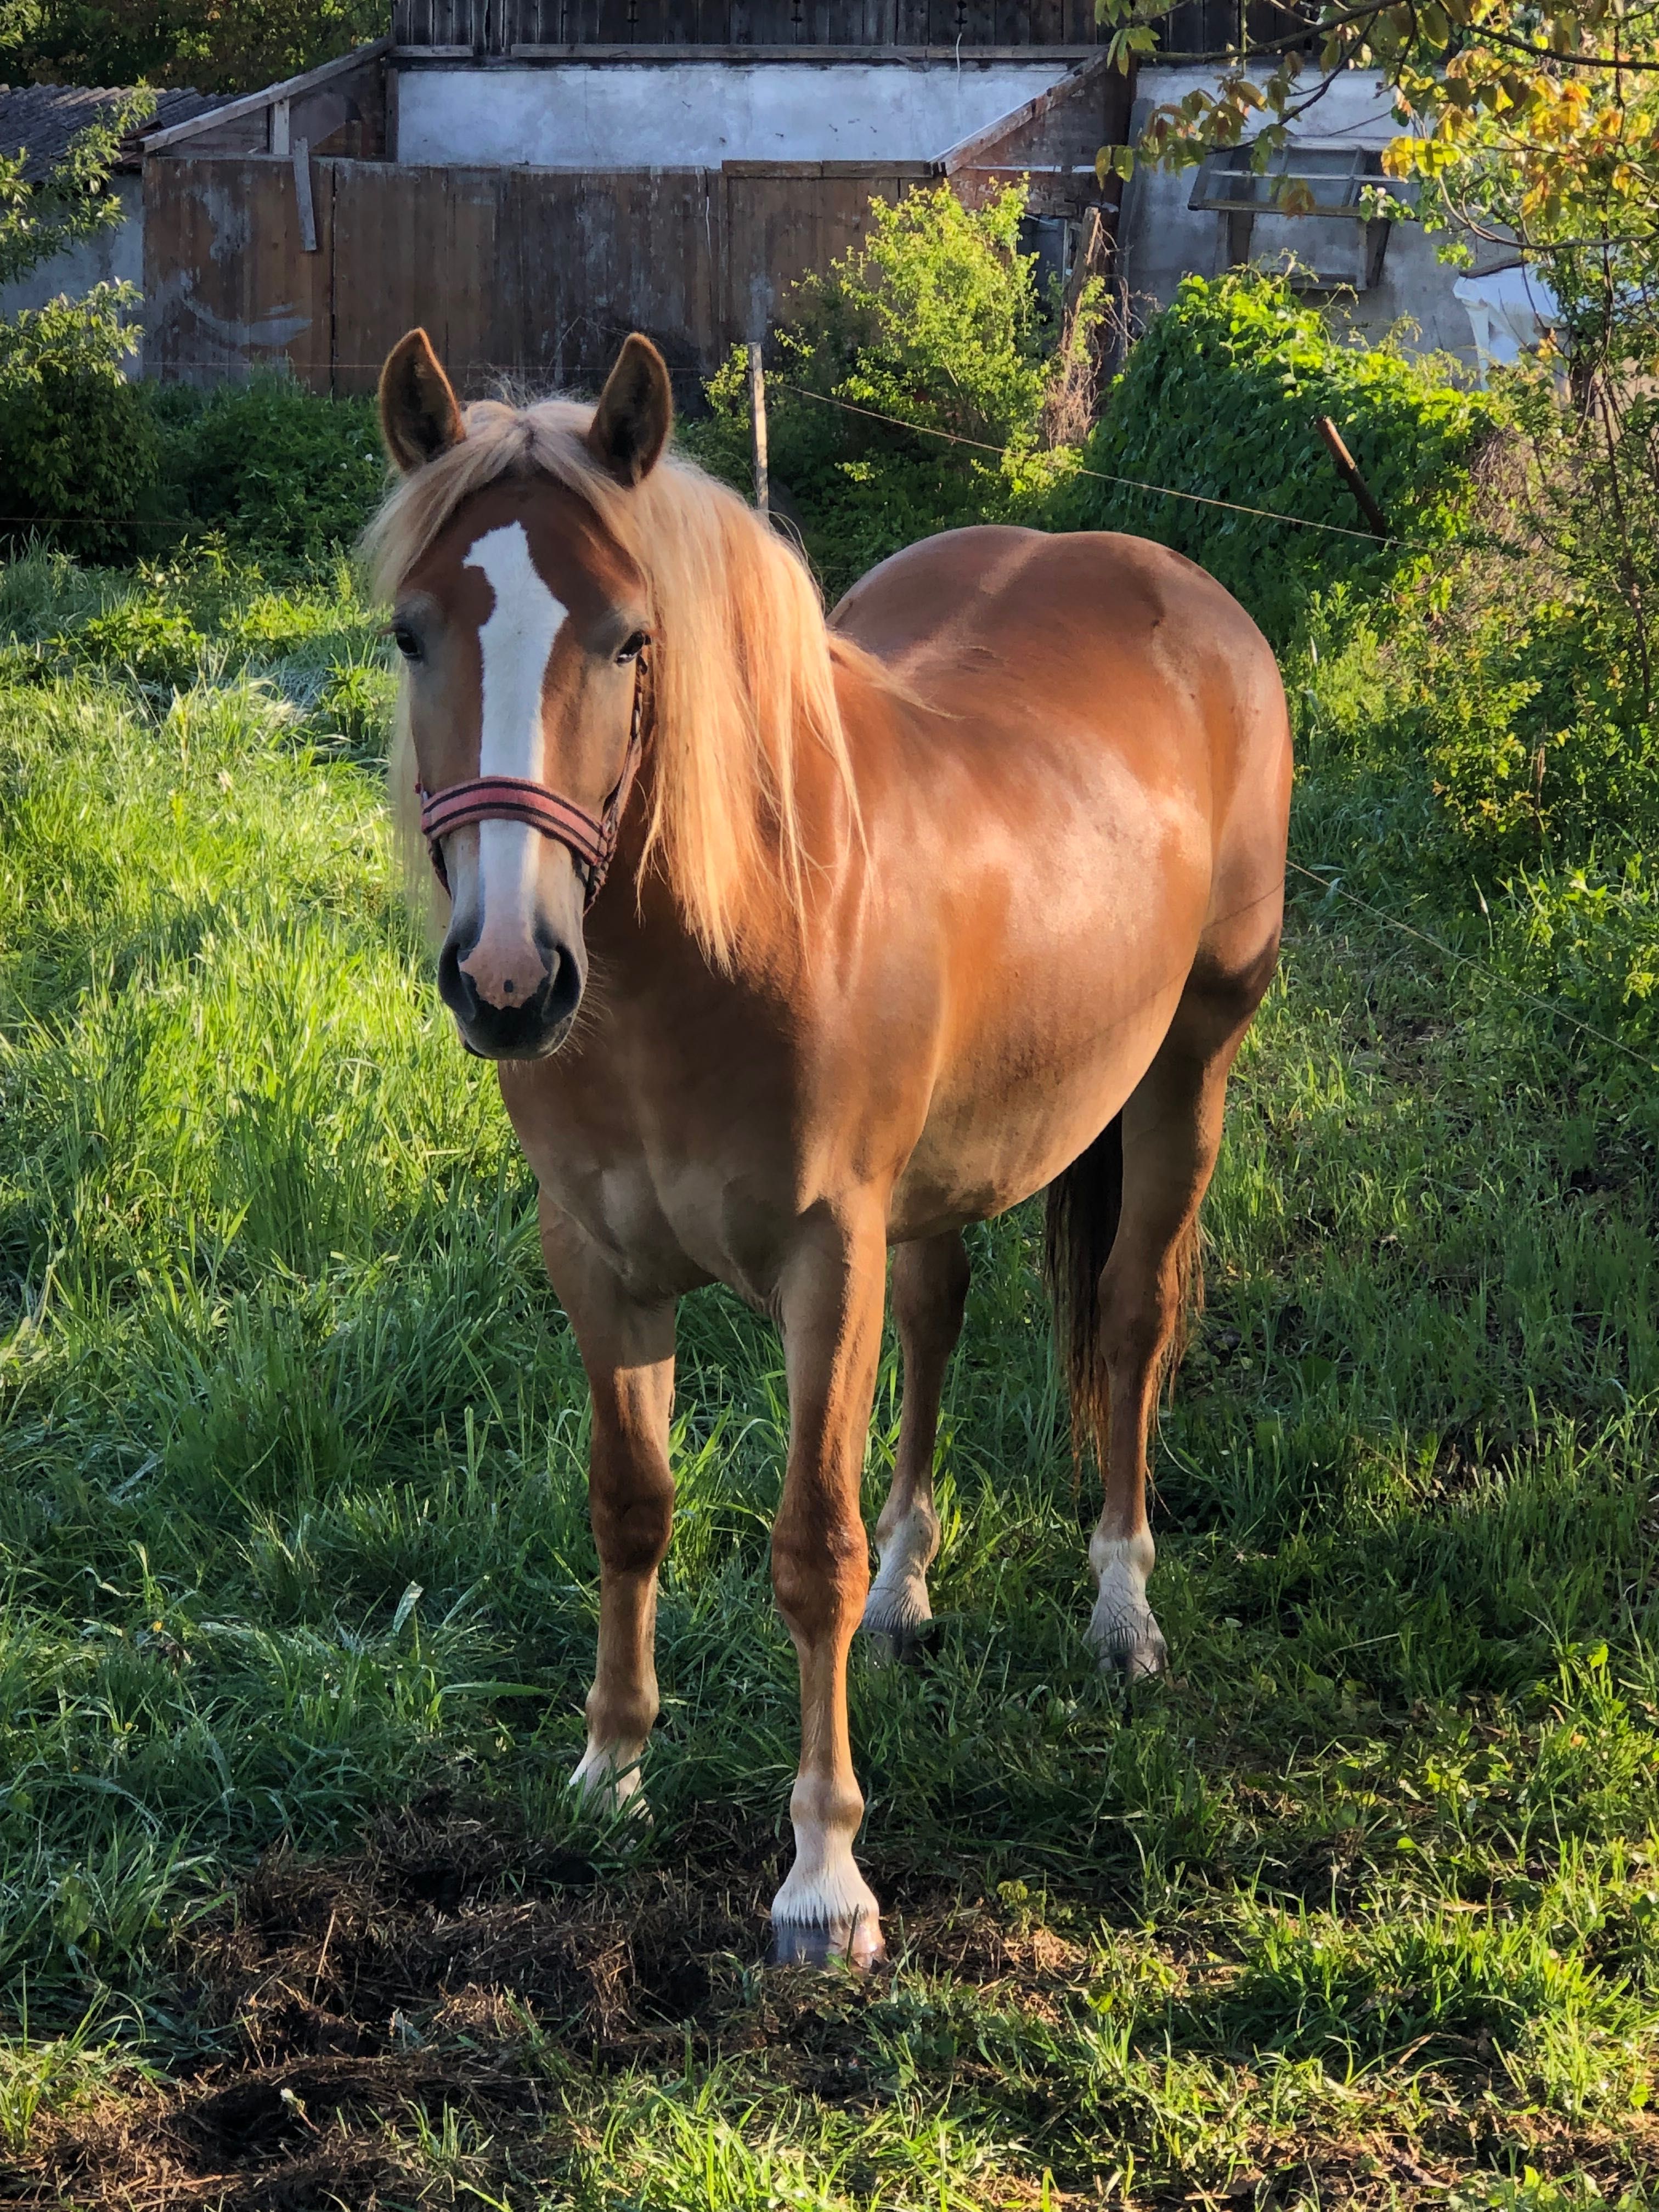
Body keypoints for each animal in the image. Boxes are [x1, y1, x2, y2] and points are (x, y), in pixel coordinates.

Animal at [369, 323, 1291, 1955]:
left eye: (629, 639)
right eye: (416, 632)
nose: (509, 977)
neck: (723, 944)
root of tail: (1179, 590)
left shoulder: (822, 1259)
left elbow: (809, 1544)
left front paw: (822, 1877)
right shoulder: (598, 1262)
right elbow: (629, 1504)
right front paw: (609, 1769)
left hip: (1191, 1069)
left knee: (1130, 1321)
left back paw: (1122, 1609)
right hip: (943, 1178)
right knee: (940, 1318)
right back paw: (911, 1597)